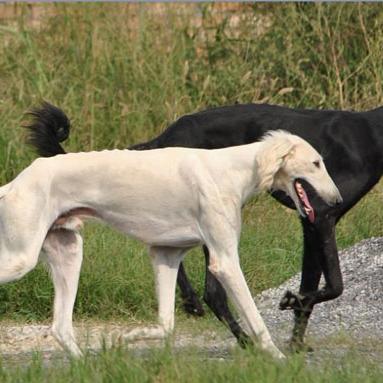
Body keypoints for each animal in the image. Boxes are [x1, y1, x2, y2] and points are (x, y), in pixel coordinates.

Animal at [24, 102, 383, 352]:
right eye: (316, 163)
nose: (336, 197)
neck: (370, 132)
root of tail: (165, 135)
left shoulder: (313, 222)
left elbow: (314, 286)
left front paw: (295, 331)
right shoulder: (319, 219)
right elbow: (334, 285)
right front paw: (289, 318)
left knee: (196, 277)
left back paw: (200, 309)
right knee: (212, 291)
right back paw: (229, 329)